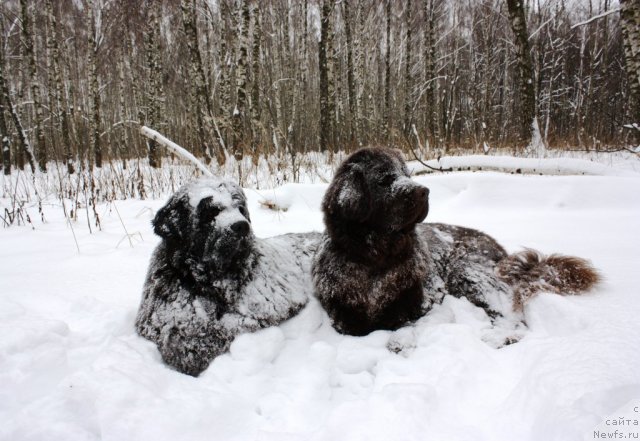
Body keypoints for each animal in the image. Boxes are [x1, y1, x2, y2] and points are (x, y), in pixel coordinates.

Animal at [312, 146, 604, 336]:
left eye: (407, 173)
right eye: (385, 179)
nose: (424, 190)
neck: (375, 259)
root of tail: (501, 250)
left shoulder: (418, 298)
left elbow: (395, 318)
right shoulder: (339, 304)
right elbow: (351, 323)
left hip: (466, 270)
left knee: (510, 317)